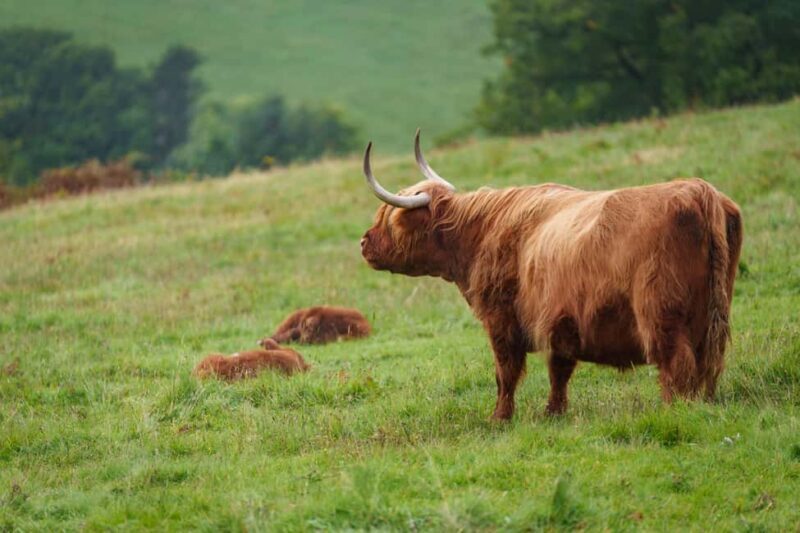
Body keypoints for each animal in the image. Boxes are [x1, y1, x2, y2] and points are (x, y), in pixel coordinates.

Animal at [359, 130, 743, 420]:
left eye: (388, 219)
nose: (364, 243)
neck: (480, 232)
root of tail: (699, 192)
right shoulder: (561, 324)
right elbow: (559, 372)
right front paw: (552, 413)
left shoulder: (501, 321)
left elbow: (505, 373)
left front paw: (499, 418)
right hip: (713, 317)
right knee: (709, 363)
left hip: (661, 314)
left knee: (676, 365)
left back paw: (671, 410)